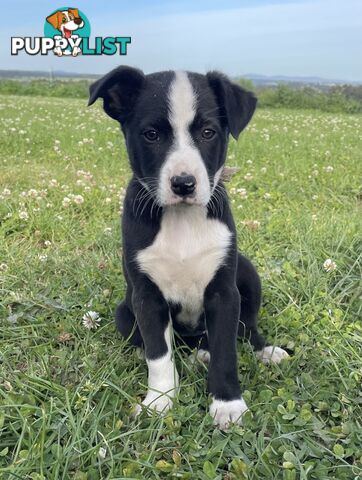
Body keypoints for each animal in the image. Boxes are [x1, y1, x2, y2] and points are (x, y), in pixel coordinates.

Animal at [89, 65, 290, 430]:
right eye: (151, 134)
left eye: (208, 132)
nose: (183, 183)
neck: (181, 220)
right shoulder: (147, 296)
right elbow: (159, 353)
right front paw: (159, 401)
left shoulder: (224, 293)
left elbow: (226, 349)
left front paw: (227, 404)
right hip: (124, 311)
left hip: (247, 272)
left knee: (246, 327)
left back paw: (261, 350)